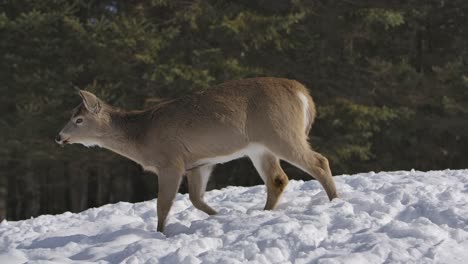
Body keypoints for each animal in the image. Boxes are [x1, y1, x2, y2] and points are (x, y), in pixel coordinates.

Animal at [56, 77, 338, 233]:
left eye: (79, 119)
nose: (59, 136)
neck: (142, 136)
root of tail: (302, 93)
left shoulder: (170, 162)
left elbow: (162, 205)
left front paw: (160, 233)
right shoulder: (198, 164)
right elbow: (196, 198)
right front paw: (220, 215)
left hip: (280, 132)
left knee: (319, 161)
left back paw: (335, 202)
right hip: (259, 147)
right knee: (277, 179)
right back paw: (264, 212)